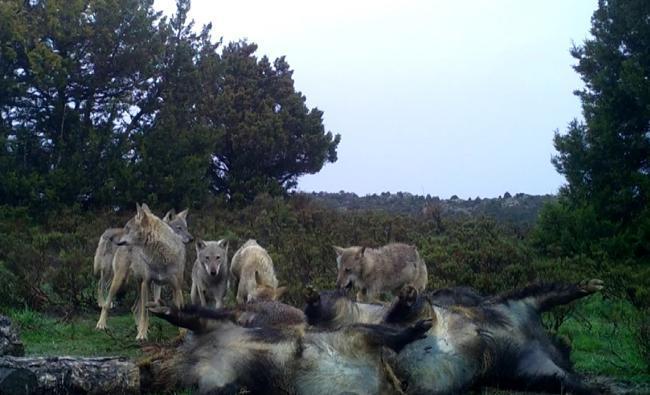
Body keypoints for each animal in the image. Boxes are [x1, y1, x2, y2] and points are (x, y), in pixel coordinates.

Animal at [96, 204, 187, 340]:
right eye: (179, 228)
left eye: (127, 228)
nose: (111, 238)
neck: (161, 257)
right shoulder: (147, 283)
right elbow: (145, 312)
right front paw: (142, 335)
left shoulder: (176, 287)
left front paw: (183, 333)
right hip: (120, 280)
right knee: (107, 303)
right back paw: (101, 324)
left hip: (137, 284)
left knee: (134, 308)